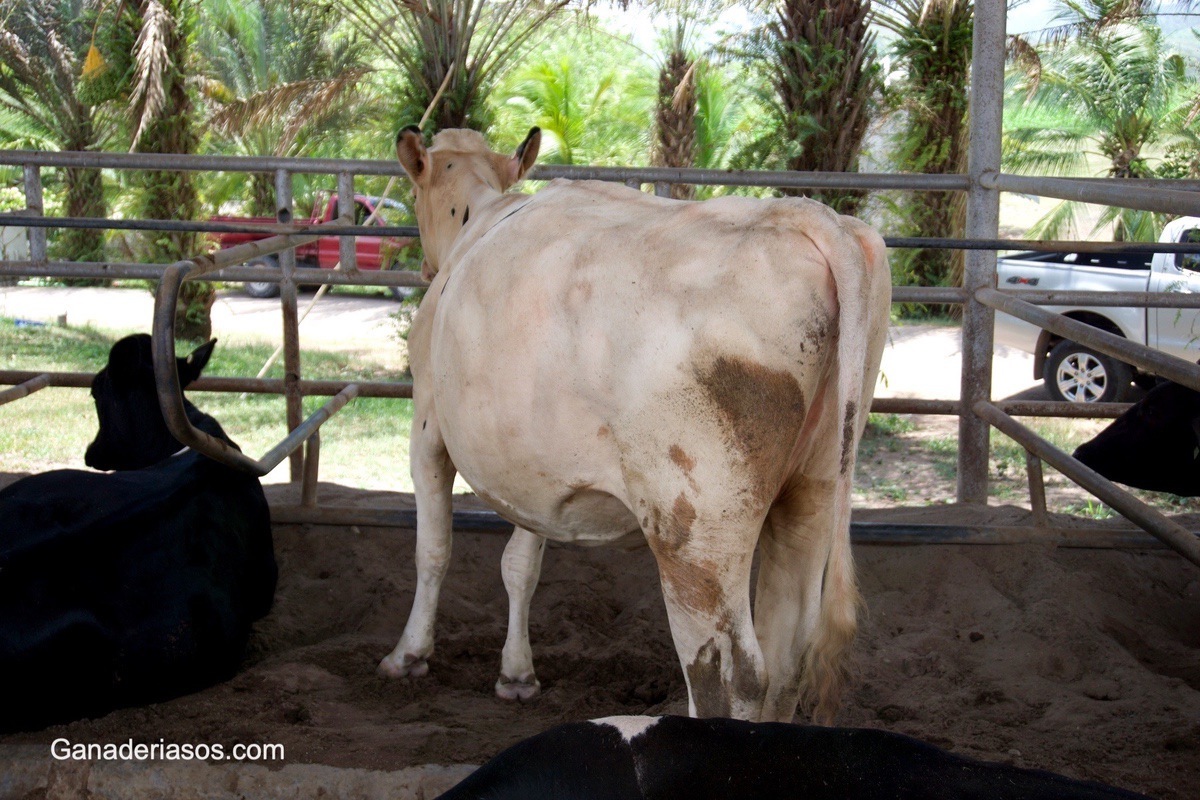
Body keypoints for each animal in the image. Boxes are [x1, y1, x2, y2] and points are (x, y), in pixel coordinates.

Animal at [379, 126, 897, 724]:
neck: (479, 214)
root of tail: (802, 214)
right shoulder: (531, 469)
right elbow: (520, 564)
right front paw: (517, 674)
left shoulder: (427, 423)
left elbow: (433, 550)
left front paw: (408, 655)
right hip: (813, 489)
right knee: (788, 650)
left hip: (695, 529)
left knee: (729, 674)